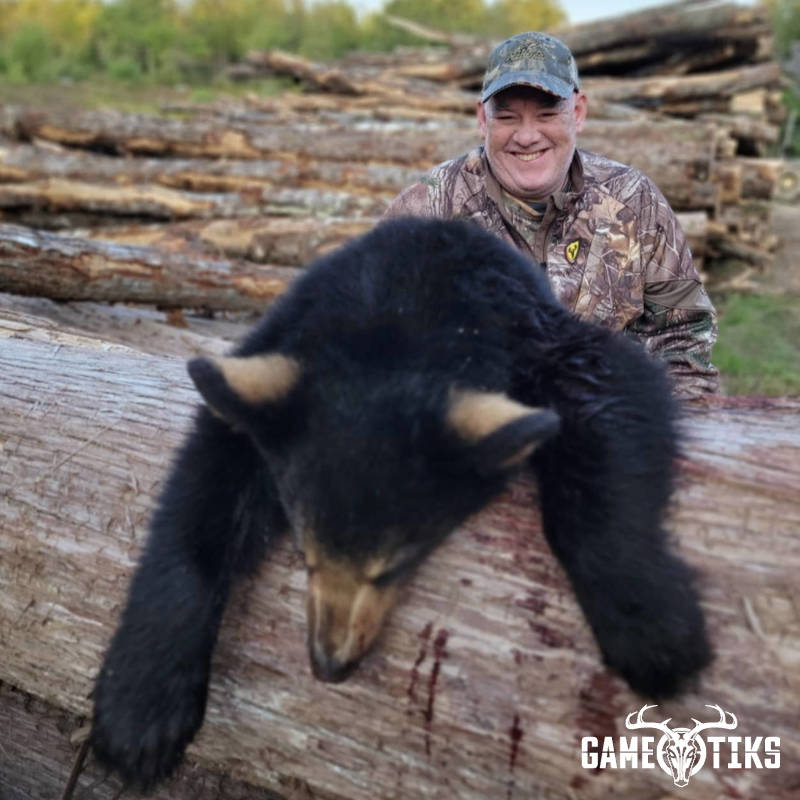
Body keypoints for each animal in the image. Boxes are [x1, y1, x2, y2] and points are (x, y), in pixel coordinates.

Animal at [90, 216, 712, 791]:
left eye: (396, 563)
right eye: (306, 556)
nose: (329, 664)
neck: (394, 313)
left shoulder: (535, 336)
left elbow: (607, 390)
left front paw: (652, 630)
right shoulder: (277, 359)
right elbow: (200, 501)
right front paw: (138, 711)